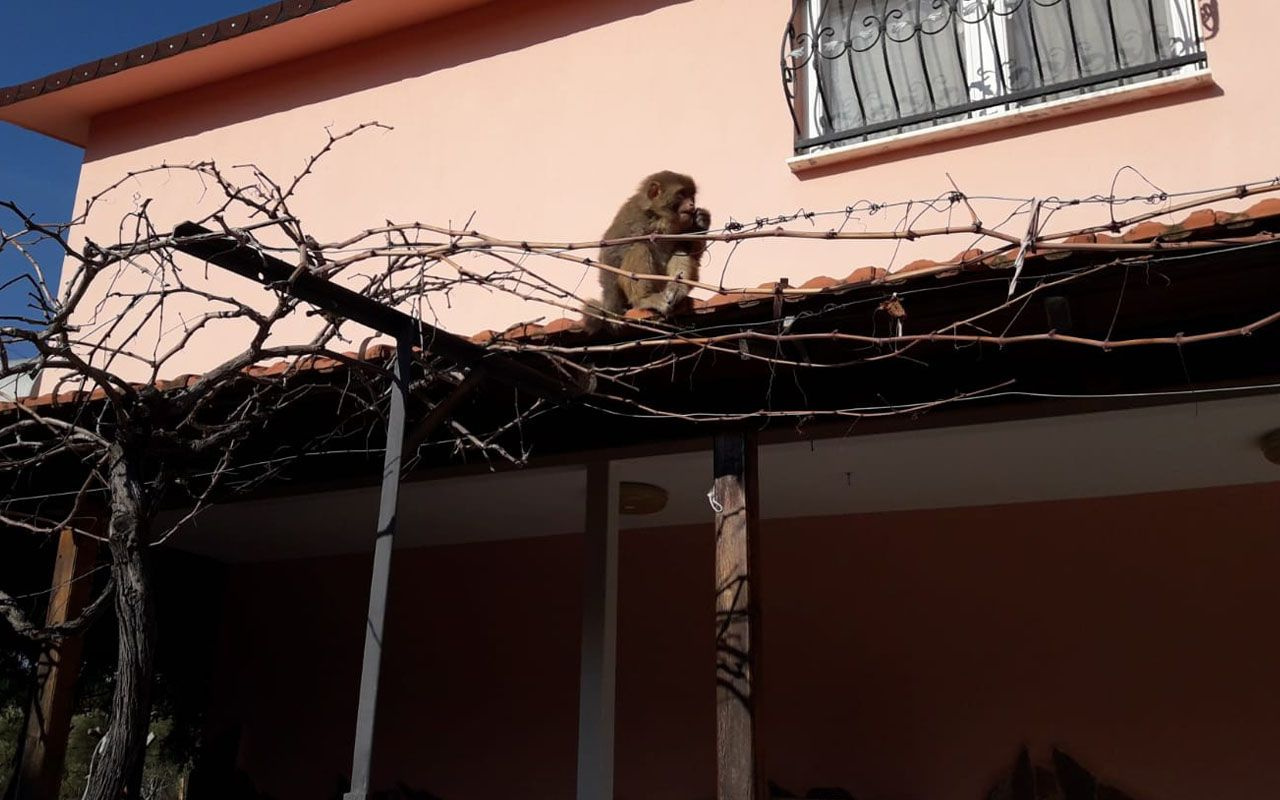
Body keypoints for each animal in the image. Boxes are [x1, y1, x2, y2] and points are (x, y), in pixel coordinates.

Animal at [583, 168, 711, 330]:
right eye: (681, 194)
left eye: (691, 195)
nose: (691, 204)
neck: (660, 218)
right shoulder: (633, 216)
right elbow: (610, 253)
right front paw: (613, 308)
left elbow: (692, 253)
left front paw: (702, 222)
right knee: (640, 248)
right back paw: (645, 298)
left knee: (680, 251)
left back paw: (676, 288)